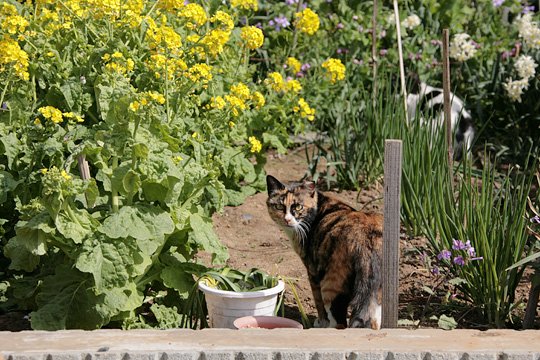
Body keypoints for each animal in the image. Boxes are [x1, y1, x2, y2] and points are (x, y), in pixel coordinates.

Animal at [266, 174, 384, 330]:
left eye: (298, 207)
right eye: (279, 206)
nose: (287, 219)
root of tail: (366, 237)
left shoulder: (312, 270)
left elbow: (318, 301)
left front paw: (321, 322)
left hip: (331, 283)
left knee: (339, 321)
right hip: (376, 293)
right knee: (373, 319)